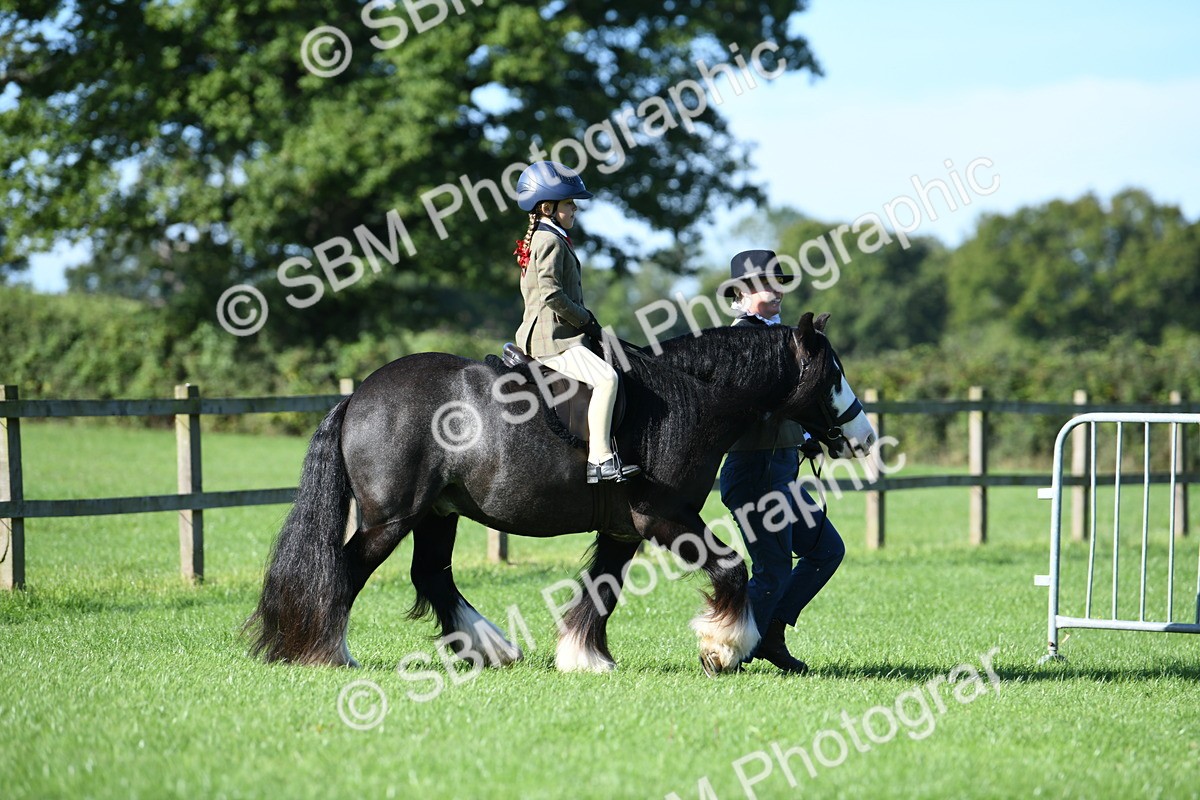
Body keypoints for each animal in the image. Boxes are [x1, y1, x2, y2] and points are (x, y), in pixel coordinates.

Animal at [246, 312, 876, 674]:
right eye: (833, 374)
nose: (865, 436)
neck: (688, 399)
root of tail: (360, 395)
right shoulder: (666, 519)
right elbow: (732, 568)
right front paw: (722, 647)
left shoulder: (623, 531)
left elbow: (601, 591)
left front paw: (584, 658)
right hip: (390, 519)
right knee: (345, 570)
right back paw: (325, 653)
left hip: (437, 514)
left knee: (431, 575)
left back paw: (490, 649)